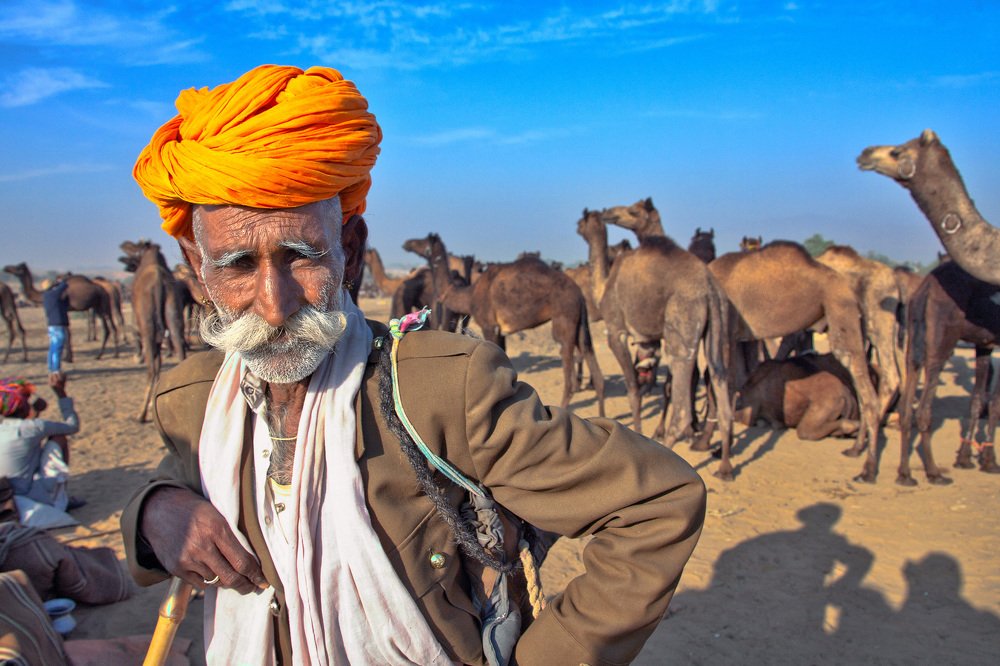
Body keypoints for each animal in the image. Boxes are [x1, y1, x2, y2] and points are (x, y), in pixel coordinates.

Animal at [119, 241, 187, 422]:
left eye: (133, 259)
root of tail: (158, 281)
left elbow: (155, 365)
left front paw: (149, 406)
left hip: (148, 328)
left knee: (151, 368)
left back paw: (141, 414)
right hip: (174, 316)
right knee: (180, 353)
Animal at [420, 232, 606, 416]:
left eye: (422, 244)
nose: (411, 243)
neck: (470, 295)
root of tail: (579, 293)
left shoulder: (489, 326)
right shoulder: (500, 331)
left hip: (565, 318)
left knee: (567, 357)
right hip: (580, 323)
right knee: (590, 356)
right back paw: (602, 414)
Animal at [581, 204, 734, 478]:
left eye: (583, 220)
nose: (608, 213)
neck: (603, 286)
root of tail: (710, 288)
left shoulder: (616, 331)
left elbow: (633, 387)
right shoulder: (648, 340)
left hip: (682, 325)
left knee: (682, 407)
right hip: (718, 329)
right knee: (720, 383)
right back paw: (724, 467)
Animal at [896, 259, 1000, 485]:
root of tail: (927, 287)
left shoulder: (984, 344)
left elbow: (977, 400)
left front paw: (965, 459)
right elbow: (995, 404)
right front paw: (990, 463)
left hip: (913, 342)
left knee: (906, 408)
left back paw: (905, 475)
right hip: (941, 340)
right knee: (924, 410)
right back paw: (934, 473)